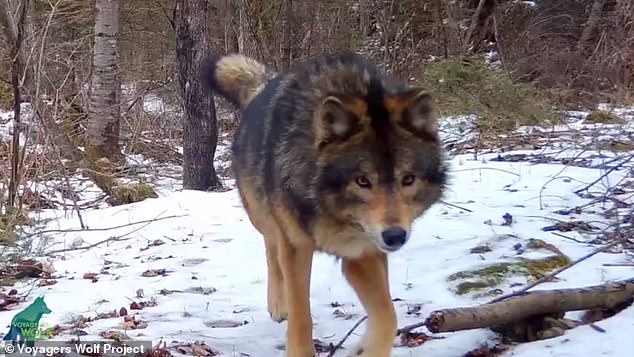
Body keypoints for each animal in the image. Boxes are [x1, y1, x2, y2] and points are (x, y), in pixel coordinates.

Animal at [201, 51, 444, 354]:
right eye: (363, 181)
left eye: (408, 179)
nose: (395, 236)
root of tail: (263, 85)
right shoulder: (296, 247)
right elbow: (301, 316)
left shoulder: (362, 253)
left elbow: (388, 314)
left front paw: (366, 349)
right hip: (265, 218)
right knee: (272, 251)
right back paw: (278, 305)